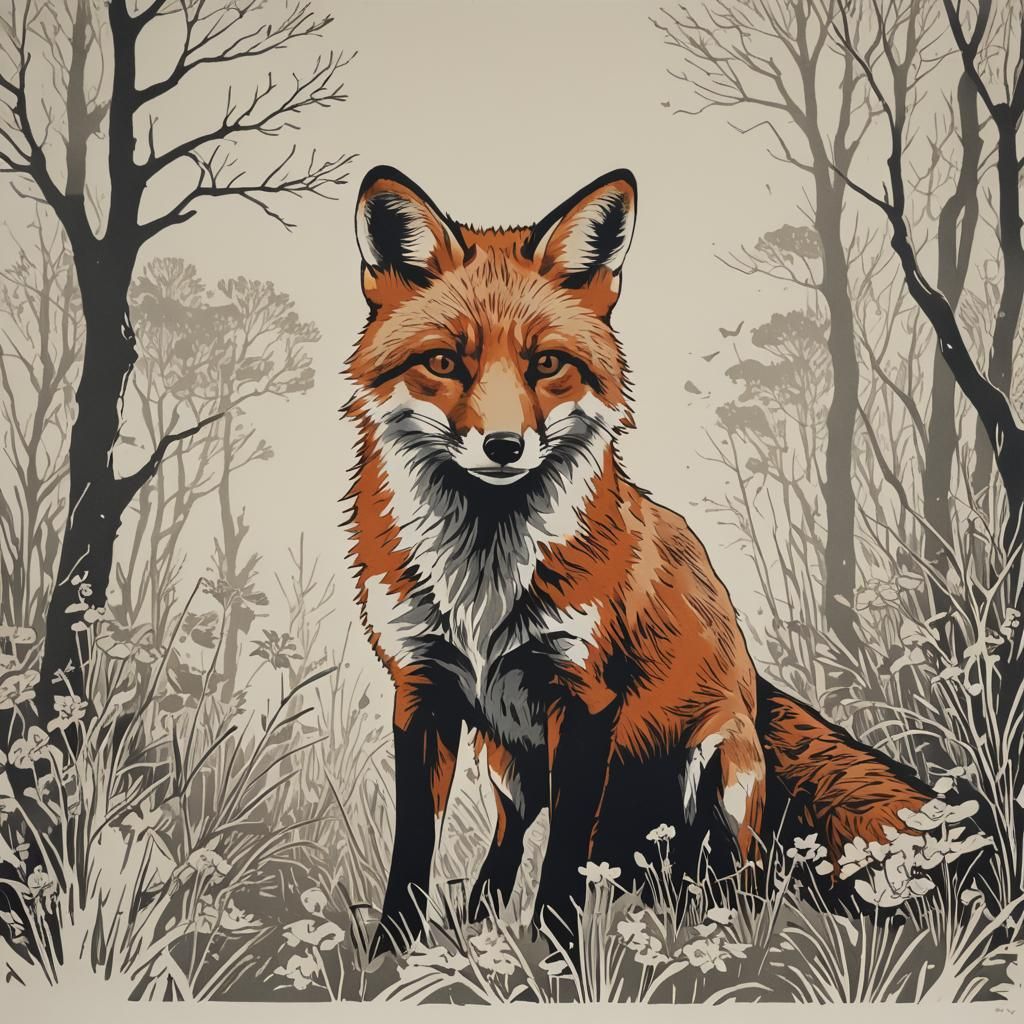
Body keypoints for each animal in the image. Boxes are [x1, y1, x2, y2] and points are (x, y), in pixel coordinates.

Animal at [345, 165, 936, 958]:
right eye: (444, 361)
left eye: (547, 364)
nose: (503, 446)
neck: (484, 578)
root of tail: (756, 687)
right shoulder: (420, 688)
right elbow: (413, 849)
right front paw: (392, 958)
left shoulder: (584, 697)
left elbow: (565, 854)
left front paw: (555, 958)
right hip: (507, 764)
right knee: (512, 843)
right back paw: (482, 923)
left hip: (723, 767)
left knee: (733, 879)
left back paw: (713, 932)